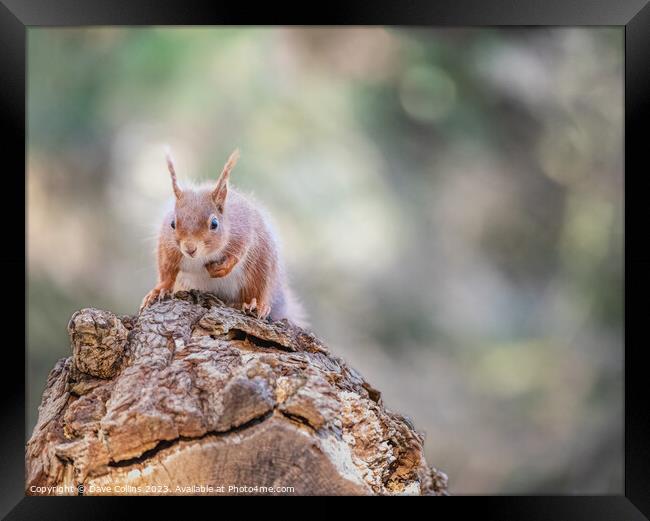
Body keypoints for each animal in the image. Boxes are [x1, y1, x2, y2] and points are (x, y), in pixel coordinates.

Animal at [140, 146, 306, 328]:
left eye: (214, 224)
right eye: (172, 223)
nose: (190, 249)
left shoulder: (243, 231)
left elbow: (238, 253)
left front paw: (221, 268)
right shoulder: (168, 247)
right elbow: (166, 270)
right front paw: (158, 290)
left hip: (261, 267)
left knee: (258, 289)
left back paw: (256, 304)